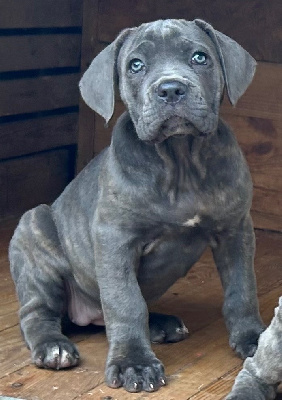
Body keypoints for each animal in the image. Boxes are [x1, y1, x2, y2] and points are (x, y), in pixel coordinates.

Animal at [8, 18, 264, 394]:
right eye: (136, 65)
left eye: (200, 57)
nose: (171, 89)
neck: (180, 161)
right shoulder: (116, 239)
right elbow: (125, 302)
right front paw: (134, 363)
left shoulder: (235, 230)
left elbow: (242, 288)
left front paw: (254, 338)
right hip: (33, 229)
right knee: (37, 314)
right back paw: (53, 347)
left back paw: (161, 324)